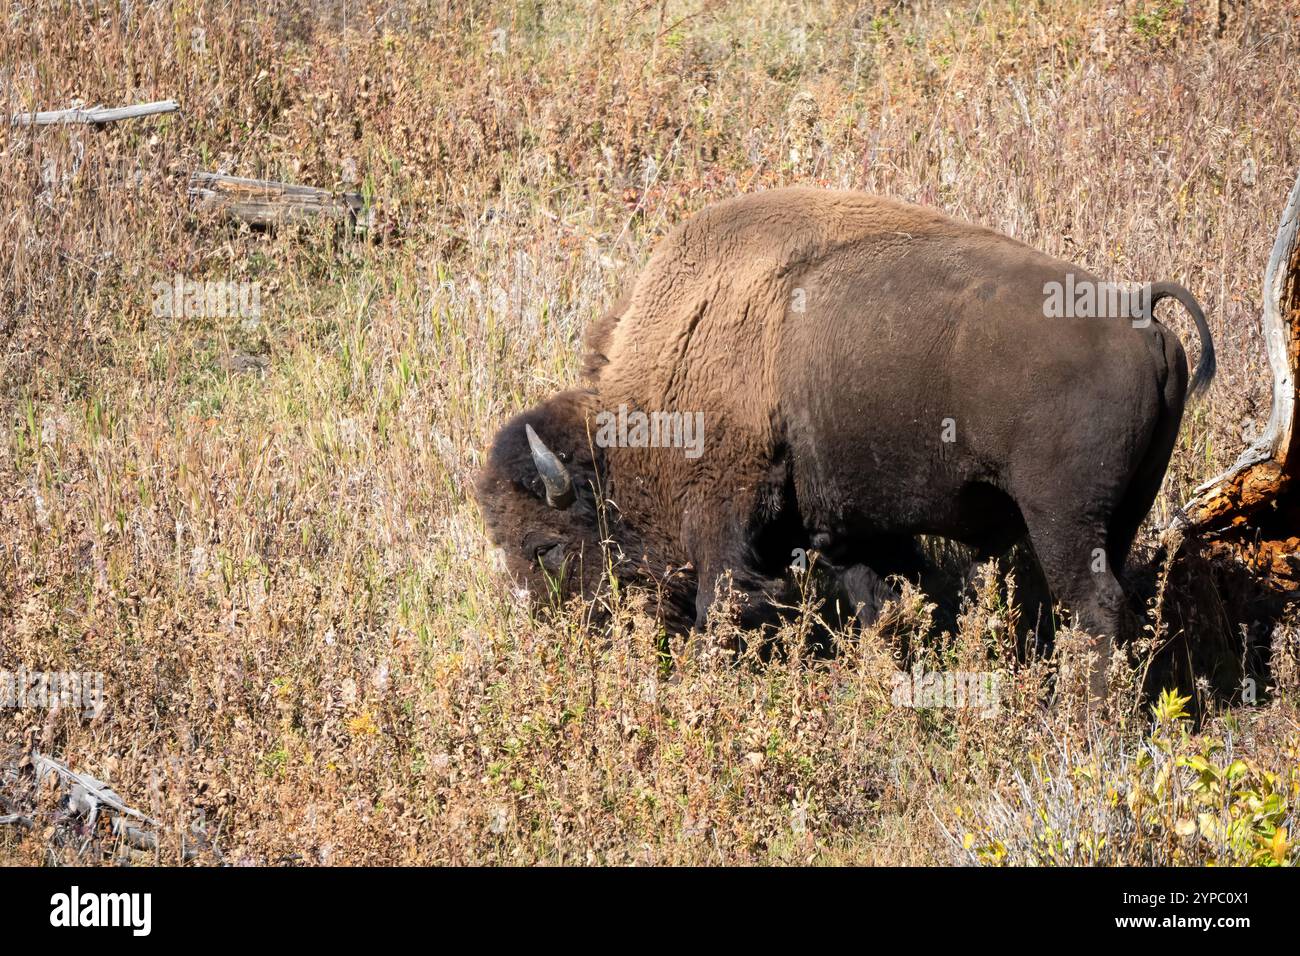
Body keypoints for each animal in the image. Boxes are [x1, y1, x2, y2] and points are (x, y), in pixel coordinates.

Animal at [475, 188, 1206, 697]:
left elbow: (725, 603)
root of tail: (1139, 313)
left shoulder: (726, 519)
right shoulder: (851, 529)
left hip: (1062, 521)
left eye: (544, 548)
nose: (563, 650)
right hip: (1123, 511)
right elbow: (878, 603)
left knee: (1093, 607)